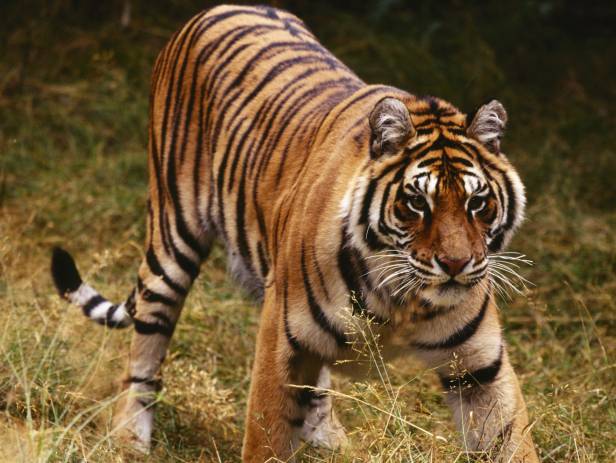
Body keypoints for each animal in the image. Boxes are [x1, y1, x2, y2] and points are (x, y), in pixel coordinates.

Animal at [50, 4, 536, 463]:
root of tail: (219, 8)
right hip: (172, 237)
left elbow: (510, 438)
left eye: (477, 203)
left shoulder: (481, 366)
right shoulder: (280, 343)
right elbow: (266, 436)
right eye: (417, 202)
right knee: (145, 349)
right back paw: (130, 439)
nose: (456, 265)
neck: (400, 301)